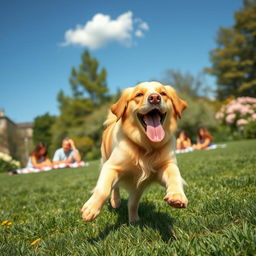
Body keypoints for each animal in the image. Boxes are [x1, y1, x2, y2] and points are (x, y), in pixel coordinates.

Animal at [81, 81, 188, 222]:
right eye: (139, 94)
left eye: (163, 93)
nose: (155, 98)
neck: (146, 147)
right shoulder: (111, 166)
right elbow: (103, 189)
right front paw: (91, 209)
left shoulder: (166, 165)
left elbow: (174, 176)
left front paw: (177, 196)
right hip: (106, 159)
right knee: (115, 188)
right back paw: (115, 201)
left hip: (138, 187)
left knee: (133, 202)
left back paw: (134, 220)